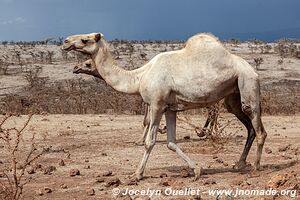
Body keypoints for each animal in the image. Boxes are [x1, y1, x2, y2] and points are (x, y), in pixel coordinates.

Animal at [62, 32, 268, 180]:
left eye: (85, 39)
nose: (65, 41)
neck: (138, 77)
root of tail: (253, 70)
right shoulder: (170, 108)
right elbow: (171, 143)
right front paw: (197, 170)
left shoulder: (156, 104)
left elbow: (150, 141)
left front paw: (137, 174)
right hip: (233, 96)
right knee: (249, 127)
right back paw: (239, 164)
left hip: (247, 82)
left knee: (258, 128)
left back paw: (256, 167)